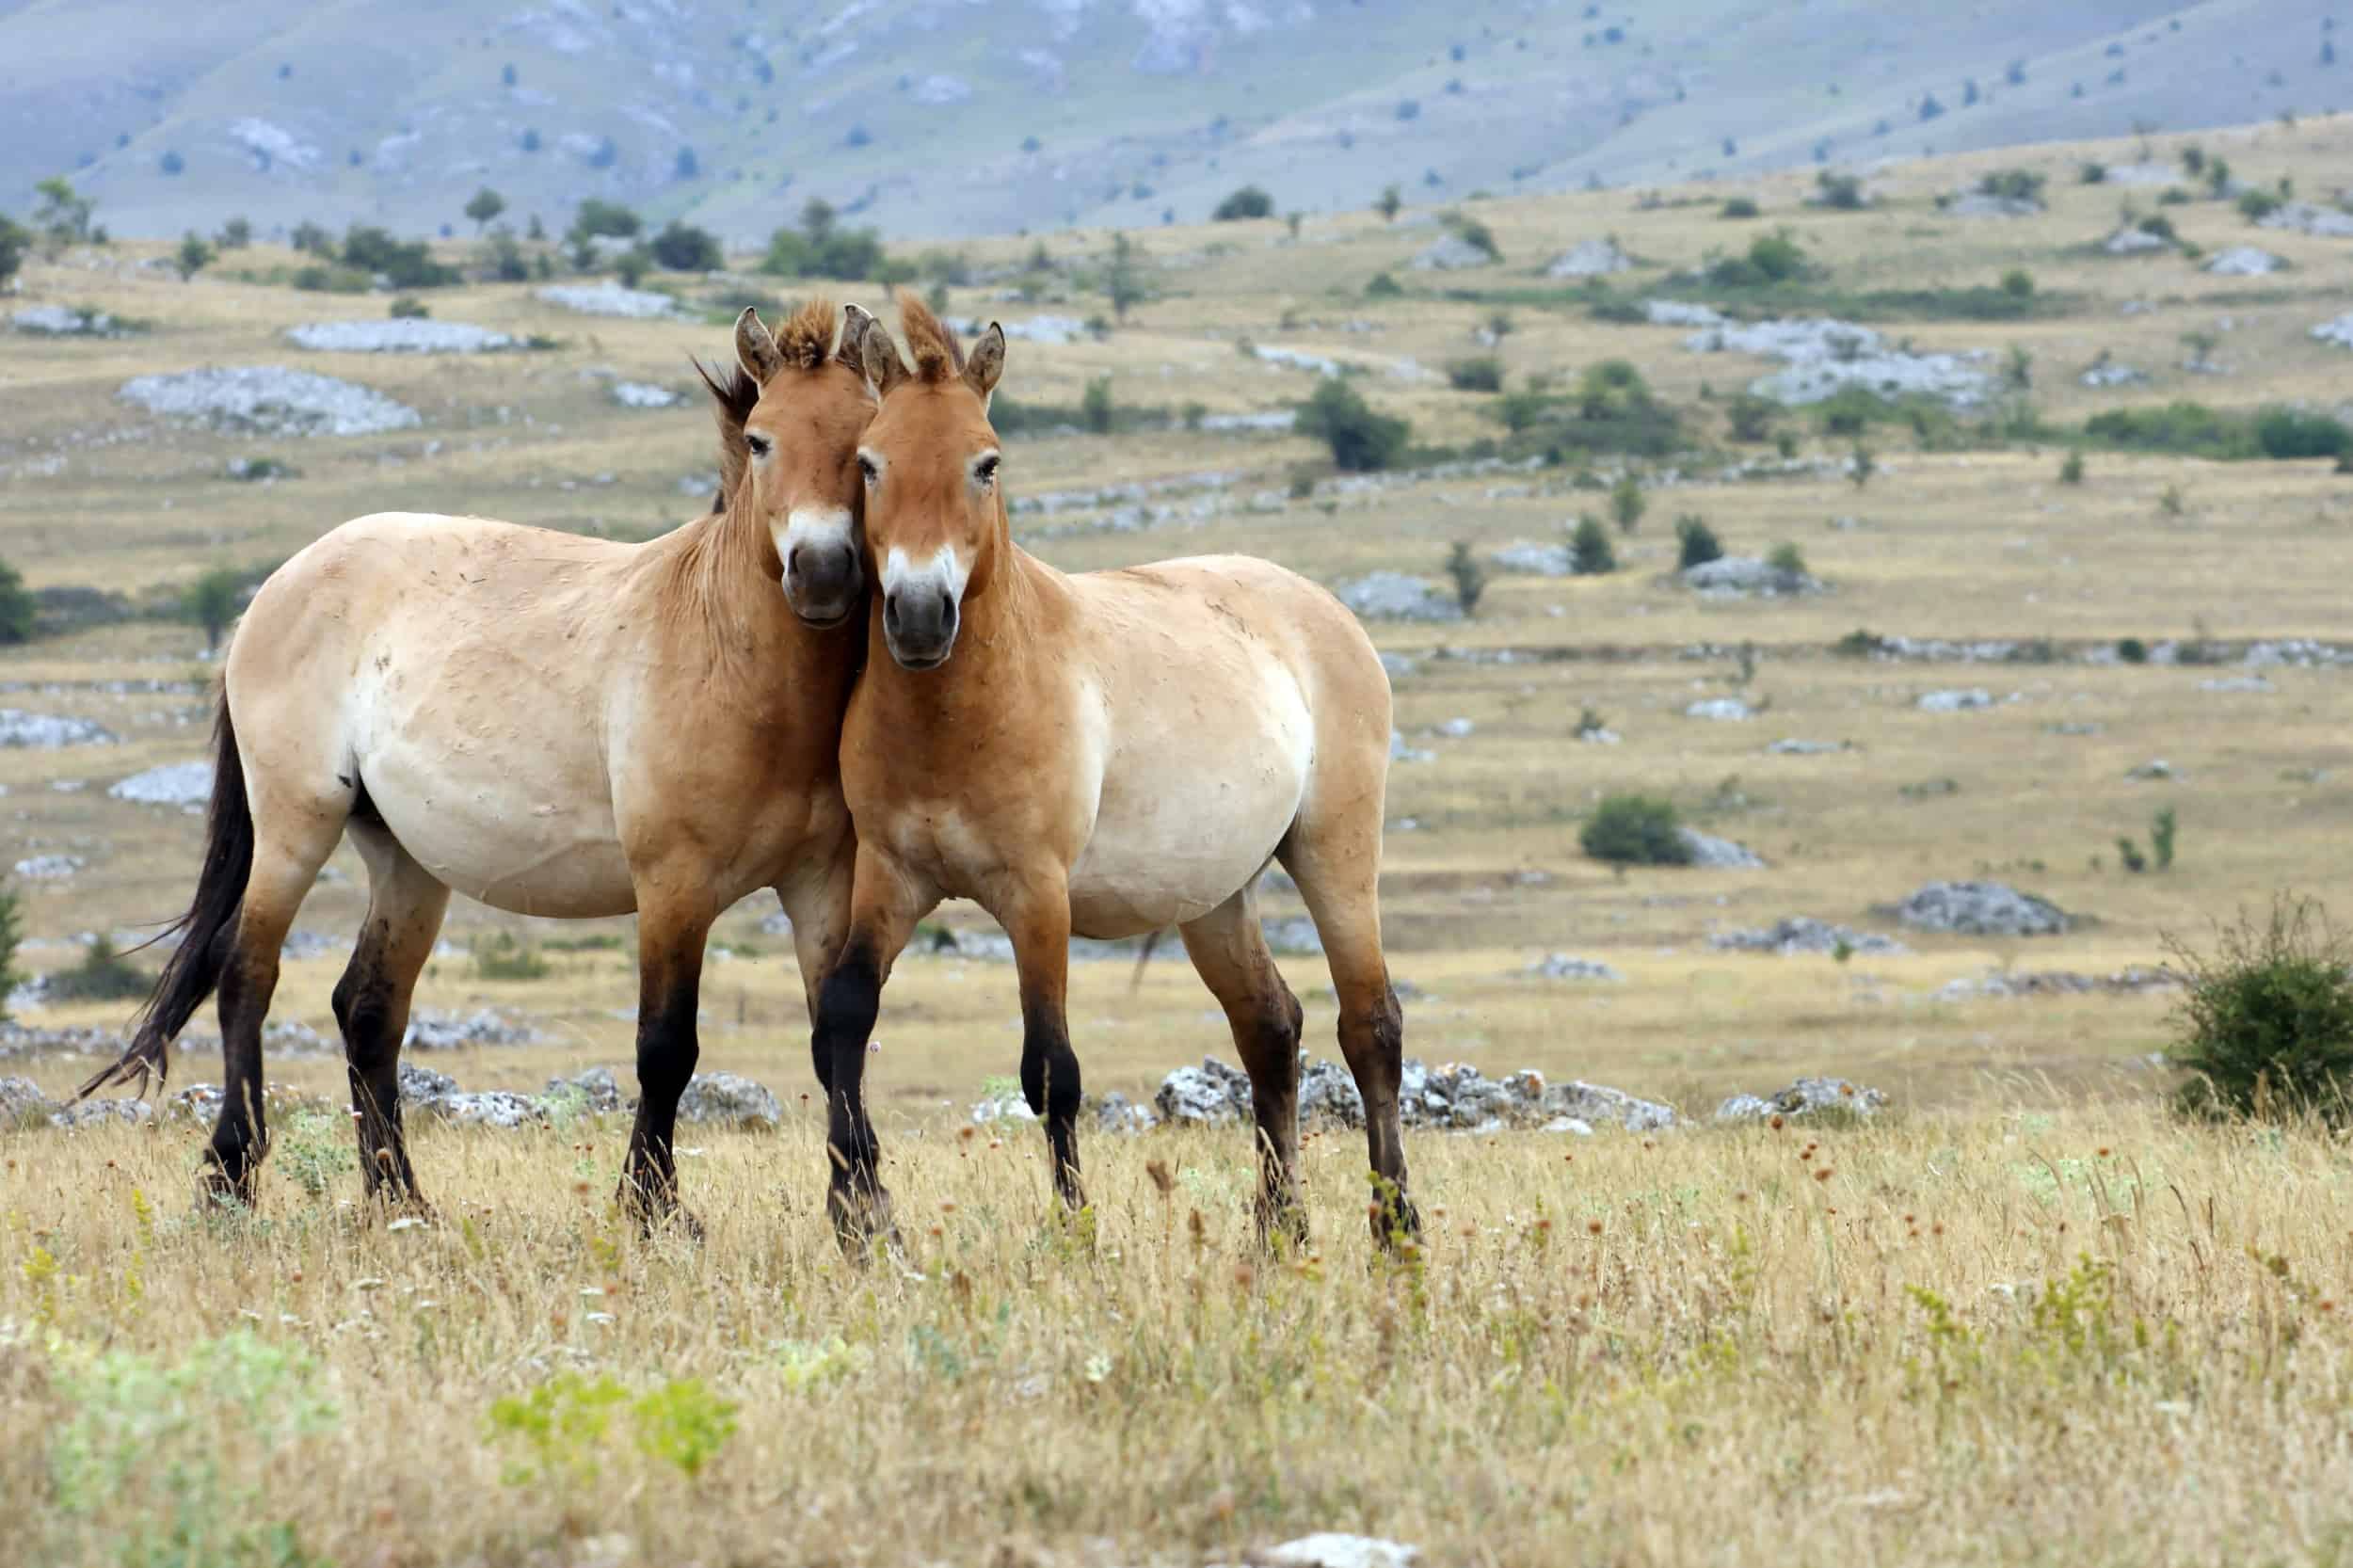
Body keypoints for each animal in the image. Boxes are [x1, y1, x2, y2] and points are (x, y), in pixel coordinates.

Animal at [80, 296, 885, 1224]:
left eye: (866, 443)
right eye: (759, 440)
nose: (821, 573)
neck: (729, 655)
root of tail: (277, 587)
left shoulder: (820, 884)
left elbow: (837, 1037)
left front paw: (865, 1212)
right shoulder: (673, 888)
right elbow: (665, 1049)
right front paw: (652, 1210)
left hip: (404, 859)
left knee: (366, 1009)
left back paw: (399, 1198)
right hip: (295, 827)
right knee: (247, 975)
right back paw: (230, 1180)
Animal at [814, 301, 1412, 1242]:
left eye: (987, 463)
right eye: (869, 463)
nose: (917, 616)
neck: (958, 716)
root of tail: (1326, 610)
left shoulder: (1037, 896)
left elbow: (1050, 1070)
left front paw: (1074, 1231)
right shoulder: (892, 876)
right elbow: (844, 1014)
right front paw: (854, 1215)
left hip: (1335, 856)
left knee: (1371, 1027)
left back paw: (1397, 1230)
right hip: (1215, 896)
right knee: (1270, 1027)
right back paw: (1280, 1231)